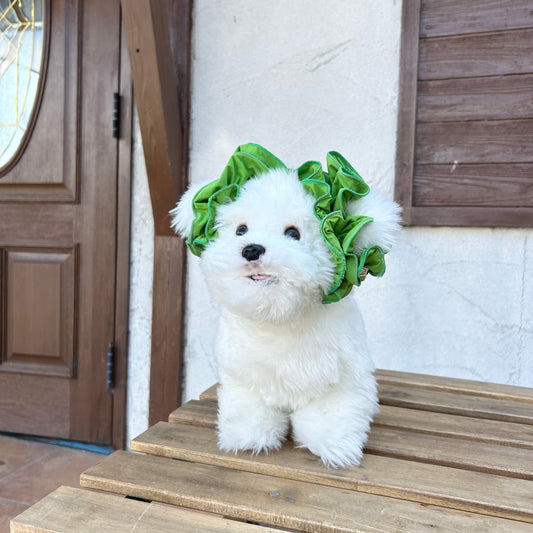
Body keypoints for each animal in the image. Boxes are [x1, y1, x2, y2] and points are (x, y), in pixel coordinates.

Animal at [170, 144, 400, 466]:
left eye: (293, 233)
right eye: (241, 230)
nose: (252, 249)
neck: (276, 319)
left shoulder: (342, 382)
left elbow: (334, 413)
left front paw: (337, 446)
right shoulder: (245, 381)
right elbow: (249, 410)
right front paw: (248, 437)